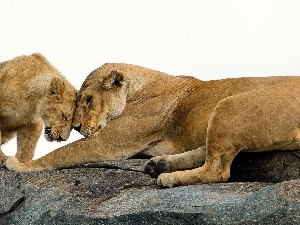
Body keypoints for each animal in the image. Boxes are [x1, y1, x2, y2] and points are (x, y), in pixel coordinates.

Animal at [4, 62, 300, 187]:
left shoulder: (110, 142)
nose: (76, 126)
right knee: (209, 153)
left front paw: (18, 165)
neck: (138, 89)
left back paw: (167, 177)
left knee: (217, 171)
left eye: (88, 100)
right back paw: (161, 164)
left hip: (229, 104)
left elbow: (61, 154)